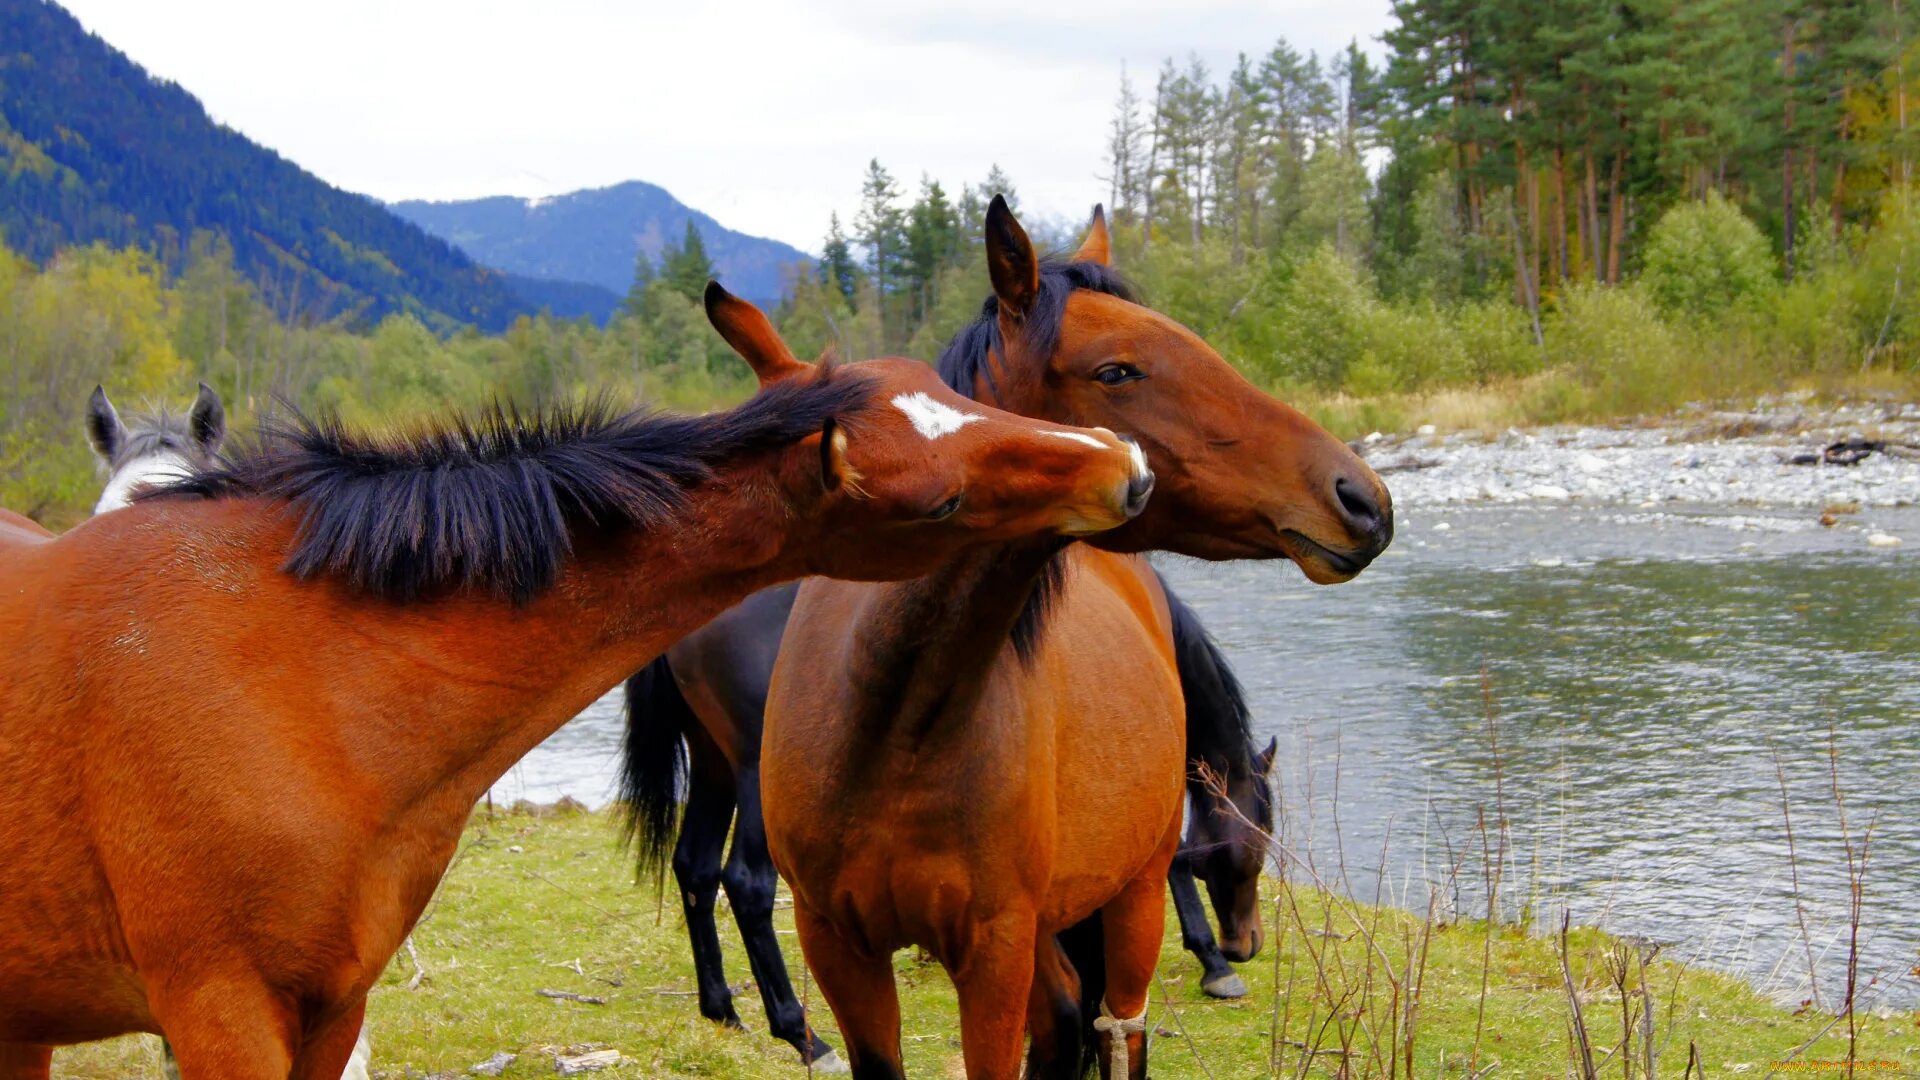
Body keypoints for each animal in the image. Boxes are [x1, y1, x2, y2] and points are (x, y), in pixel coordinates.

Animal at [0, 286, 1144, 1076]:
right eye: (940, 501)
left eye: (949, 388)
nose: (1121, 461)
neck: (294, 666)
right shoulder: (221, 1014)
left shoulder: (332, 1011)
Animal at [752, 197, 1397, 1068]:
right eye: (1117, 370)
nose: (1361, 499)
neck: (888, 721)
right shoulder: (837, 945)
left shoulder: (994, 951)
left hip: (1133, 898)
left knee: (1120, 1028)